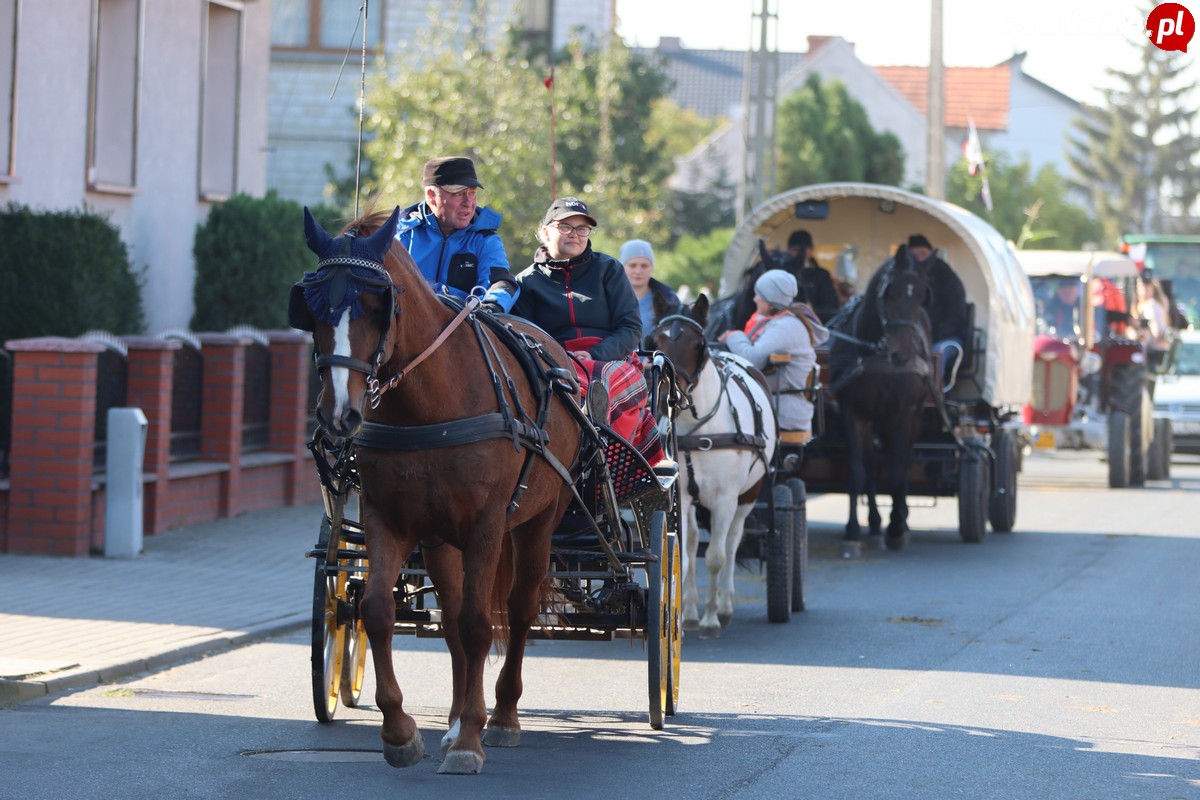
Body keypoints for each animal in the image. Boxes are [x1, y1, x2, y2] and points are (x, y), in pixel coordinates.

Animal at [295, 206, 585, 777]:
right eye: (311, 307)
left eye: (374, 306)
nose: (338, 414)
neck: (428, 403)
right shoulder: (390, 520)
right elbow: (378, 612)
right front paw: (401, 732)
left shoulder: (487, 525)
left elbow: (479, 625)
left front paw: (472, 738)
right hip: (439, 541)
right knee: (449, 620)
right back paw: (452, 722)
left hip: (536, 523)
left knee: (518, 609)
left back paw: (501, 717)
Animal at [830, 247, 931, 561]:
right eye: (890, 293)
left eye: (921, 295)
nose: (902, 354)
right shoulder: (852, 412)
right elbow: (857, 472)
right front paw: (852, 533)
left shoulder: (901, 414)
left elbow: (897, 473)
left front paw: (896, 527)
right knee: (871, 466)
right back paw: (874, 526)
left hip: (915, 416)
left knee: (904, 460)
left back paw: (899, 520)